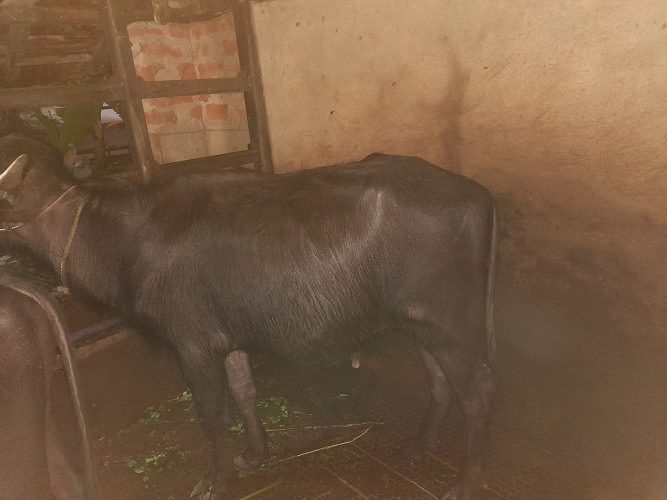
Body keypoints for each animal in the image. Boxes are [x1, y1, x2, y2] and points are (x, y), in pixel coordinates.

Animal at [0, 134, 497, 499]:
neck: (123, 240)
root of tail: (477, 193)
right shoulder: (227, 339)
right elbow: (244, 392)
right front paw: (256, 454)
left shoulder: (193, 345)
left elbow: (212, 414)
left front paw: (217, 480)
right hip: (424, 324)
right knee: (439, 382)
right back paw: (417, 446)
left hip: (454, 324)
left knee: (476, 396)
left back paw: (465, 482)